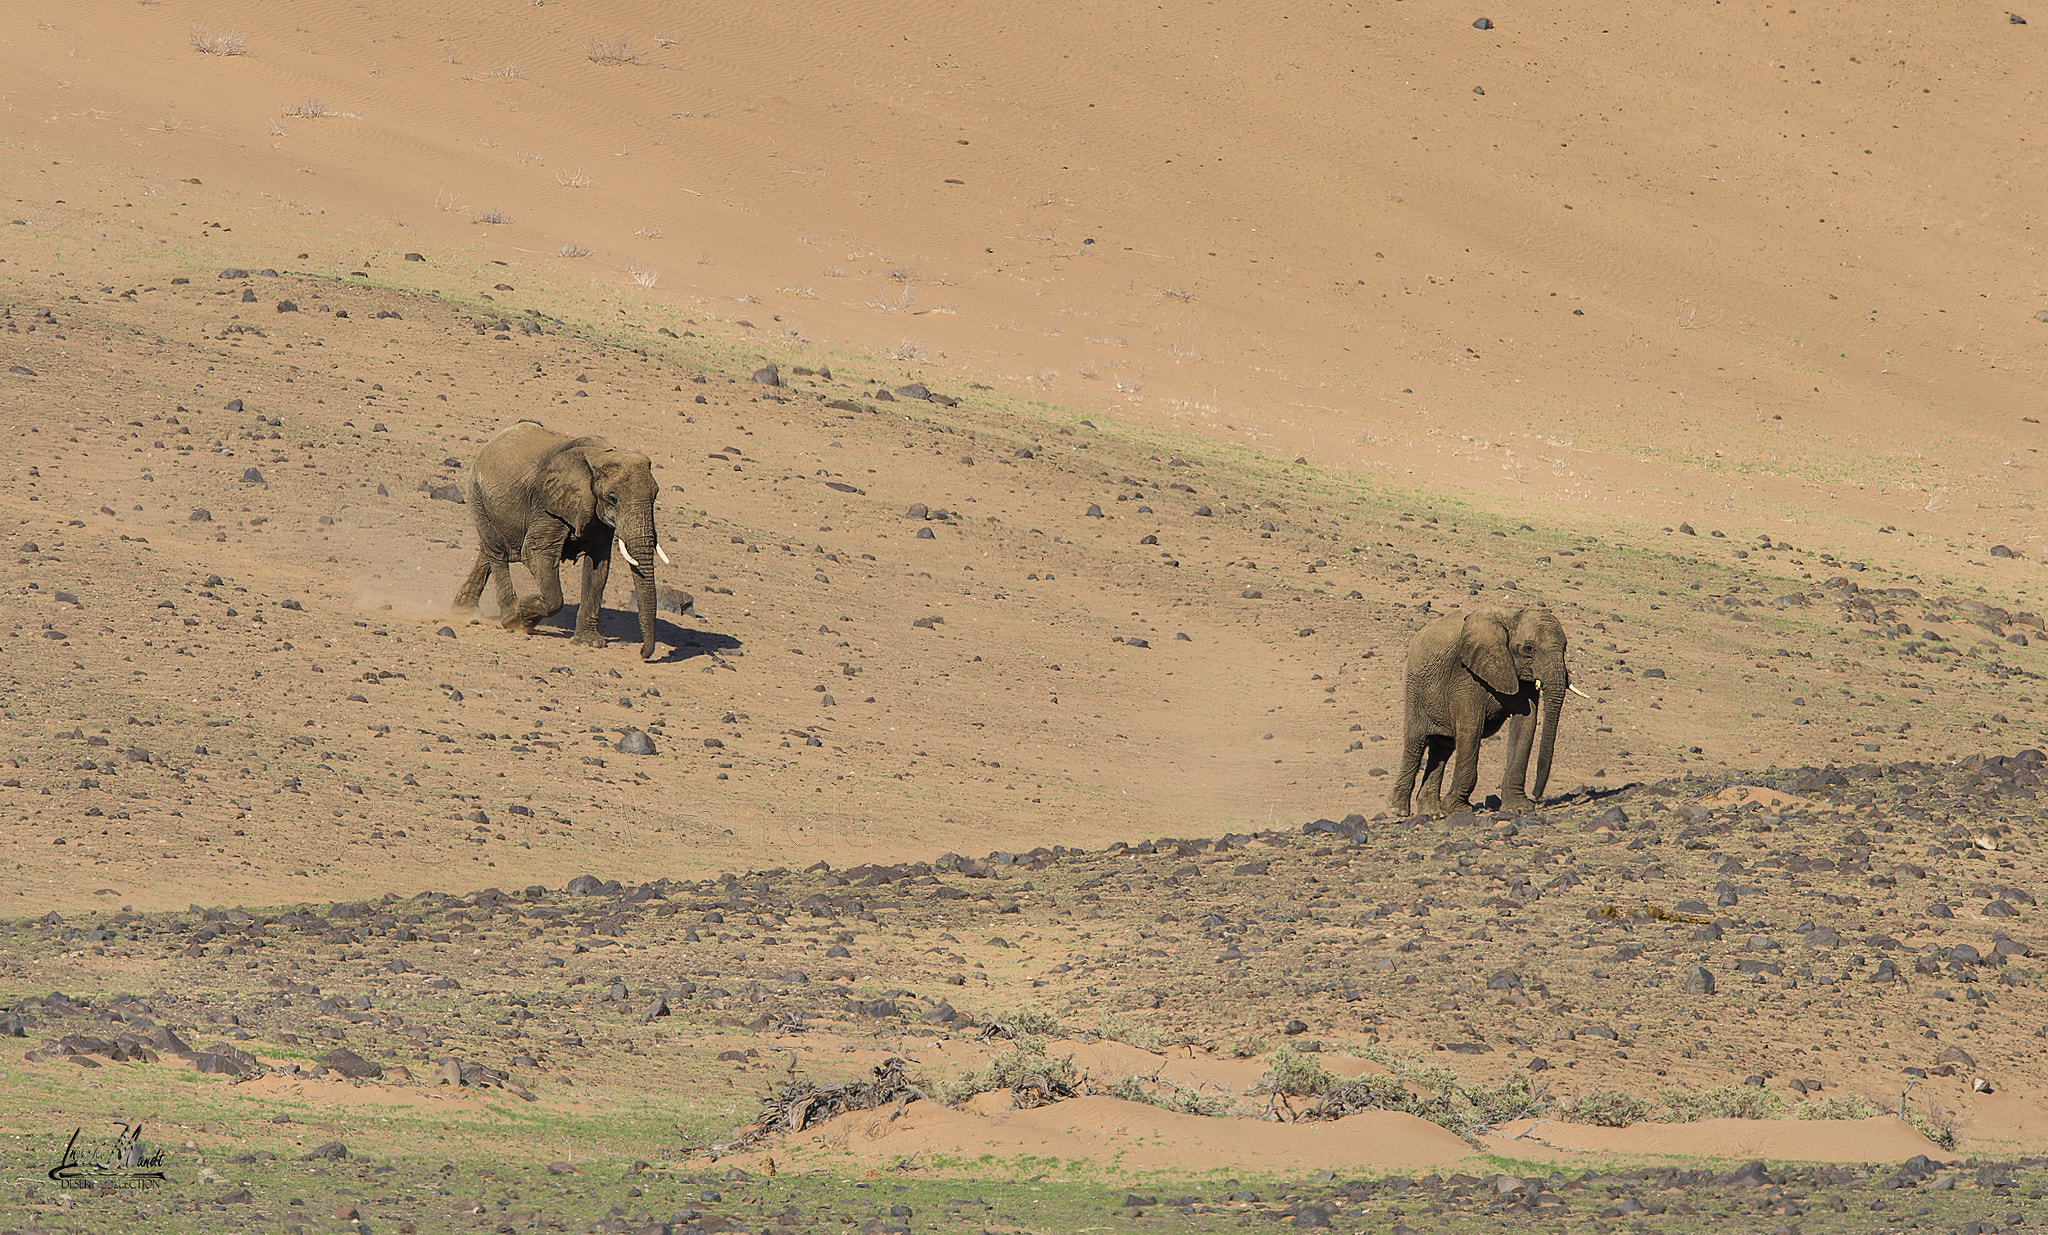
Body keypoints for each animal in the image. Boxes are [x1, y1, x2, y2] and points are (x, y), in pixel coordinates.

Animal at [452, 421, 667, 663]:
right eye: (612, 498)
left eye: (655, 496)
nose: (644, 654)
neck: (601, 455)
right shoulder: (548, 506)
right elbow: (536, 553)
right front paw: (521, 616)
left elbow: (599, 566)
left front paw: (588, 643)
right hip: (477, 494)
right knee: (497, 553)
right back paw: (508, 615)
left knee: (488, 553)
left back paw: (464, 612)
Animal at [1384, 602, 1589, 815]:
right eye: (1529, 649)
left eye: (1565, 648)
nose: (1537, 795)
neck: (1511, 616)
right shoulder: (1466, 675)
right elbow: (1471, 727)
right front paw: (1457, 809)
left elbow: (1525, 724)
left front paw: (1518, 808)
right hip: (1415, 688)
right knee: (1415, 742)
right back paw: (1397, 809)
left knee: (1442, 747)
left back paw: (1432, 812)